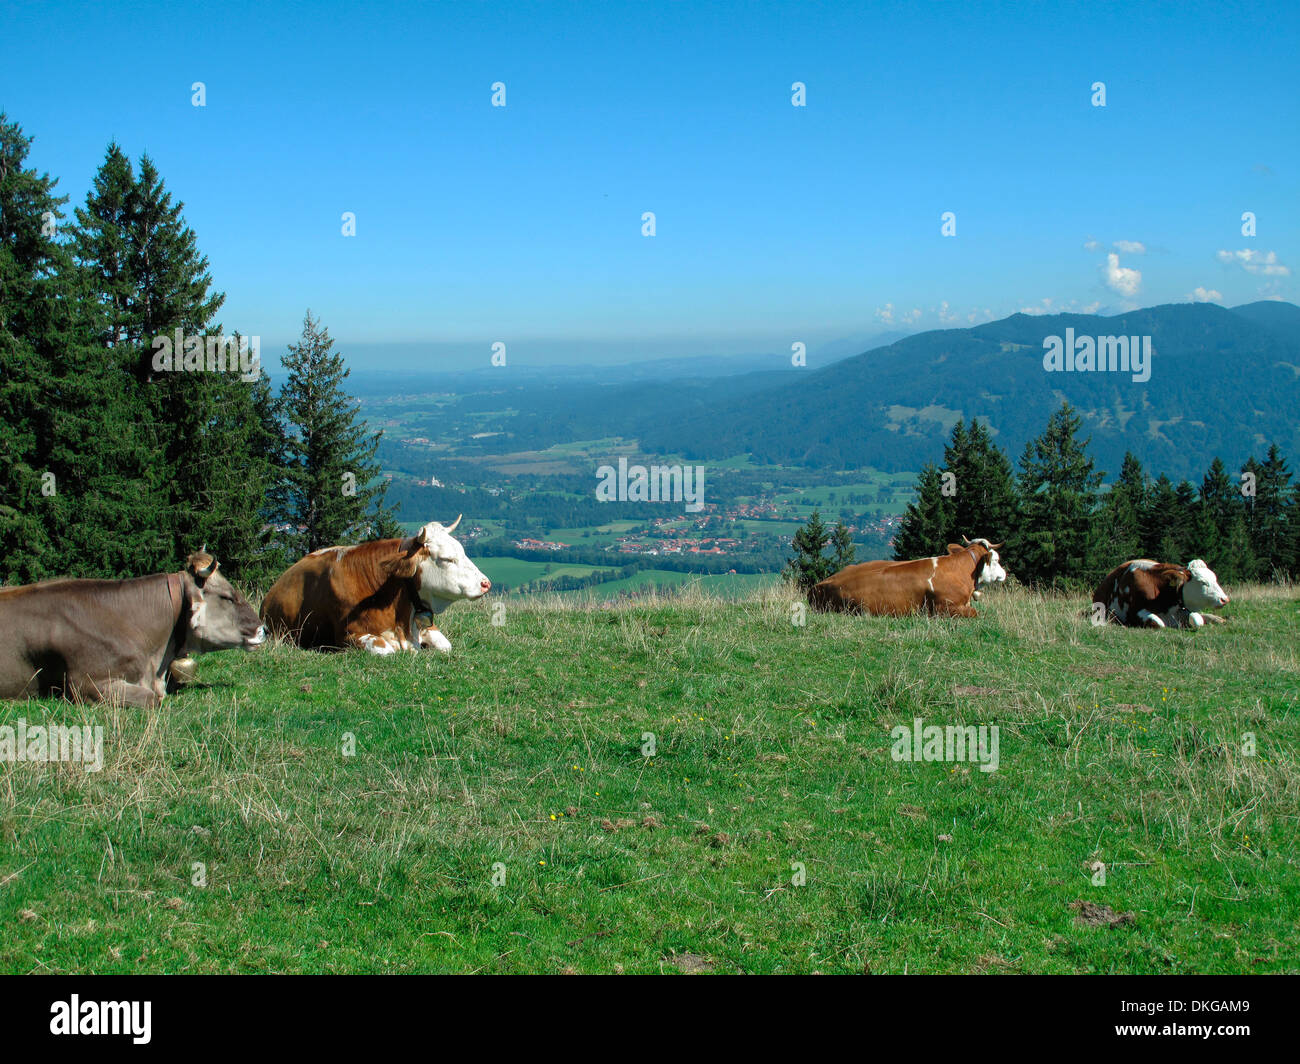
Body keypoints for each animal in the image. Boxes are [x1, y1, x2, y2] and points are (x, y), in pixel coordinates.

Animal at [1092, 551, 1222, 626]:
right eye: (1202, 582)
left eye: (1215, 579)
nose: (1224, 599)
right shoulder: (1133, 614)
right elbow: (1159, 623)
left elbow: (1197, 619)